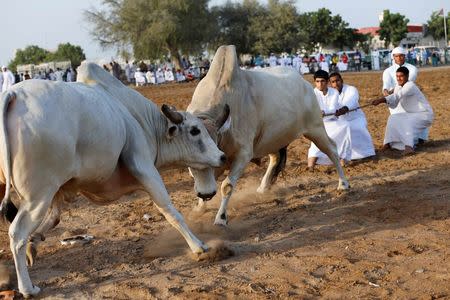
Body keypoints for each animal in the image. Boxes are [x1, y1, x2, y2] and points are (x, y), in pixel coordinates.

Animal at [0, 62, 227, 296]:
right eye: (195, 130)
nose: (222, 156)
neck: (138, 119)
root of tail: (13, 94)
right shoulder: (144, 167)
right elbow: (171, 212)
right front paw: (199, 246)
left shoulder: (62, 189)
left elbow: (54, 219)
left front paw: (34, 243)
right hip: (37, 196)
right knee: (16, 235)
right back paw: (28, 288)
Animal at [188, 45, 350, 226]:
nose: (206, 194)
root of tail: (304, 84)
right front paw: (199, 208)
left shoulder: (243, 154)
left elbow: (227, 186)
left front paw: (221, 218)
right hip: (273, 139)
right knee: (275, 158)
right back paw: (263, 187)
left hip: (315, 129)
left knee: (332, 149)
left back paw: (343, 184)